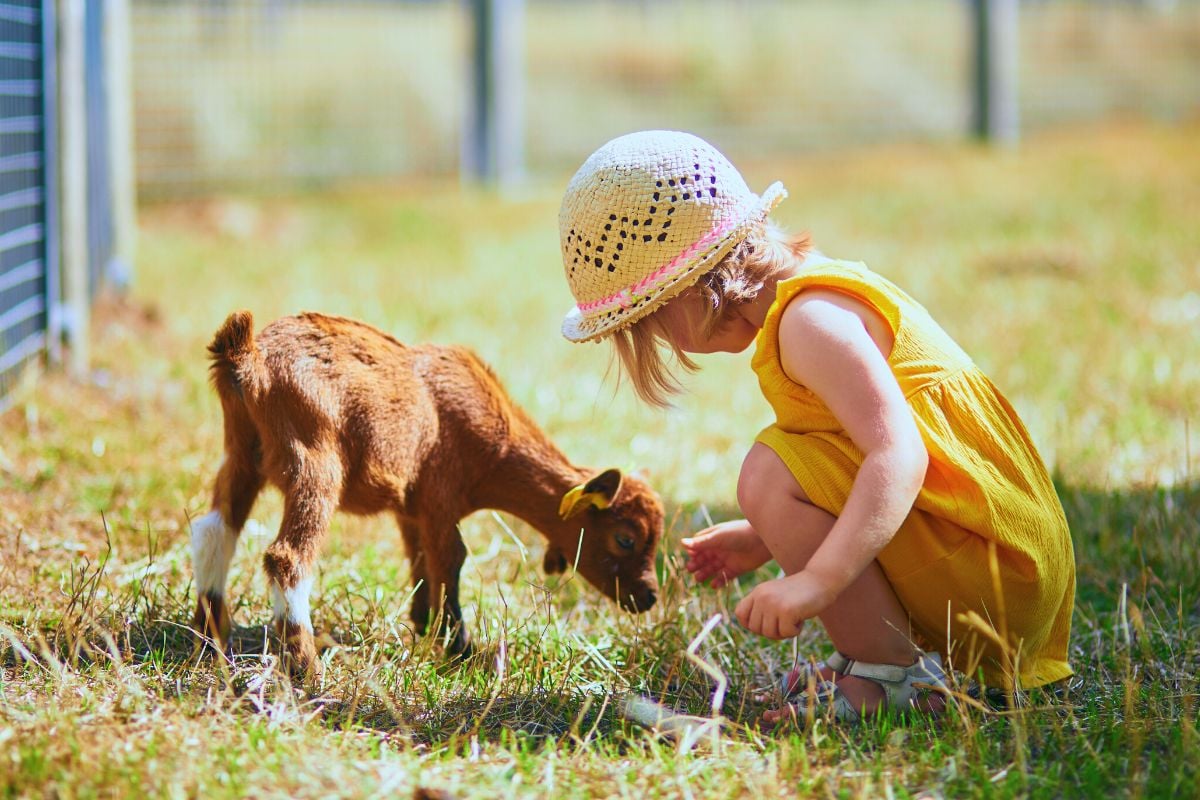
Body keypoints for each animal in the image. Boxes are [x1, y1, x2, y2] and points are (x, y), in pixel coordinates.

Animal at [190, 311, 662, 676]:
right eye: (625, 538)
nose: (649, 598)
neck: (496, 441)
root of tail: (249, 357)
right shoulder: (440, 495)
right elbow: (451, 558)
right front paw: (461, 648)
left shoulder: (411, 505)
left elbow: (419, 558)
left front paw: (423, 624)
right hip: (314, 457)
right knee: (287, 557)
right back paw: (306, 669)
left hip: (241, 451)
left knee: (214, 531)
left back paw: (209, 640)